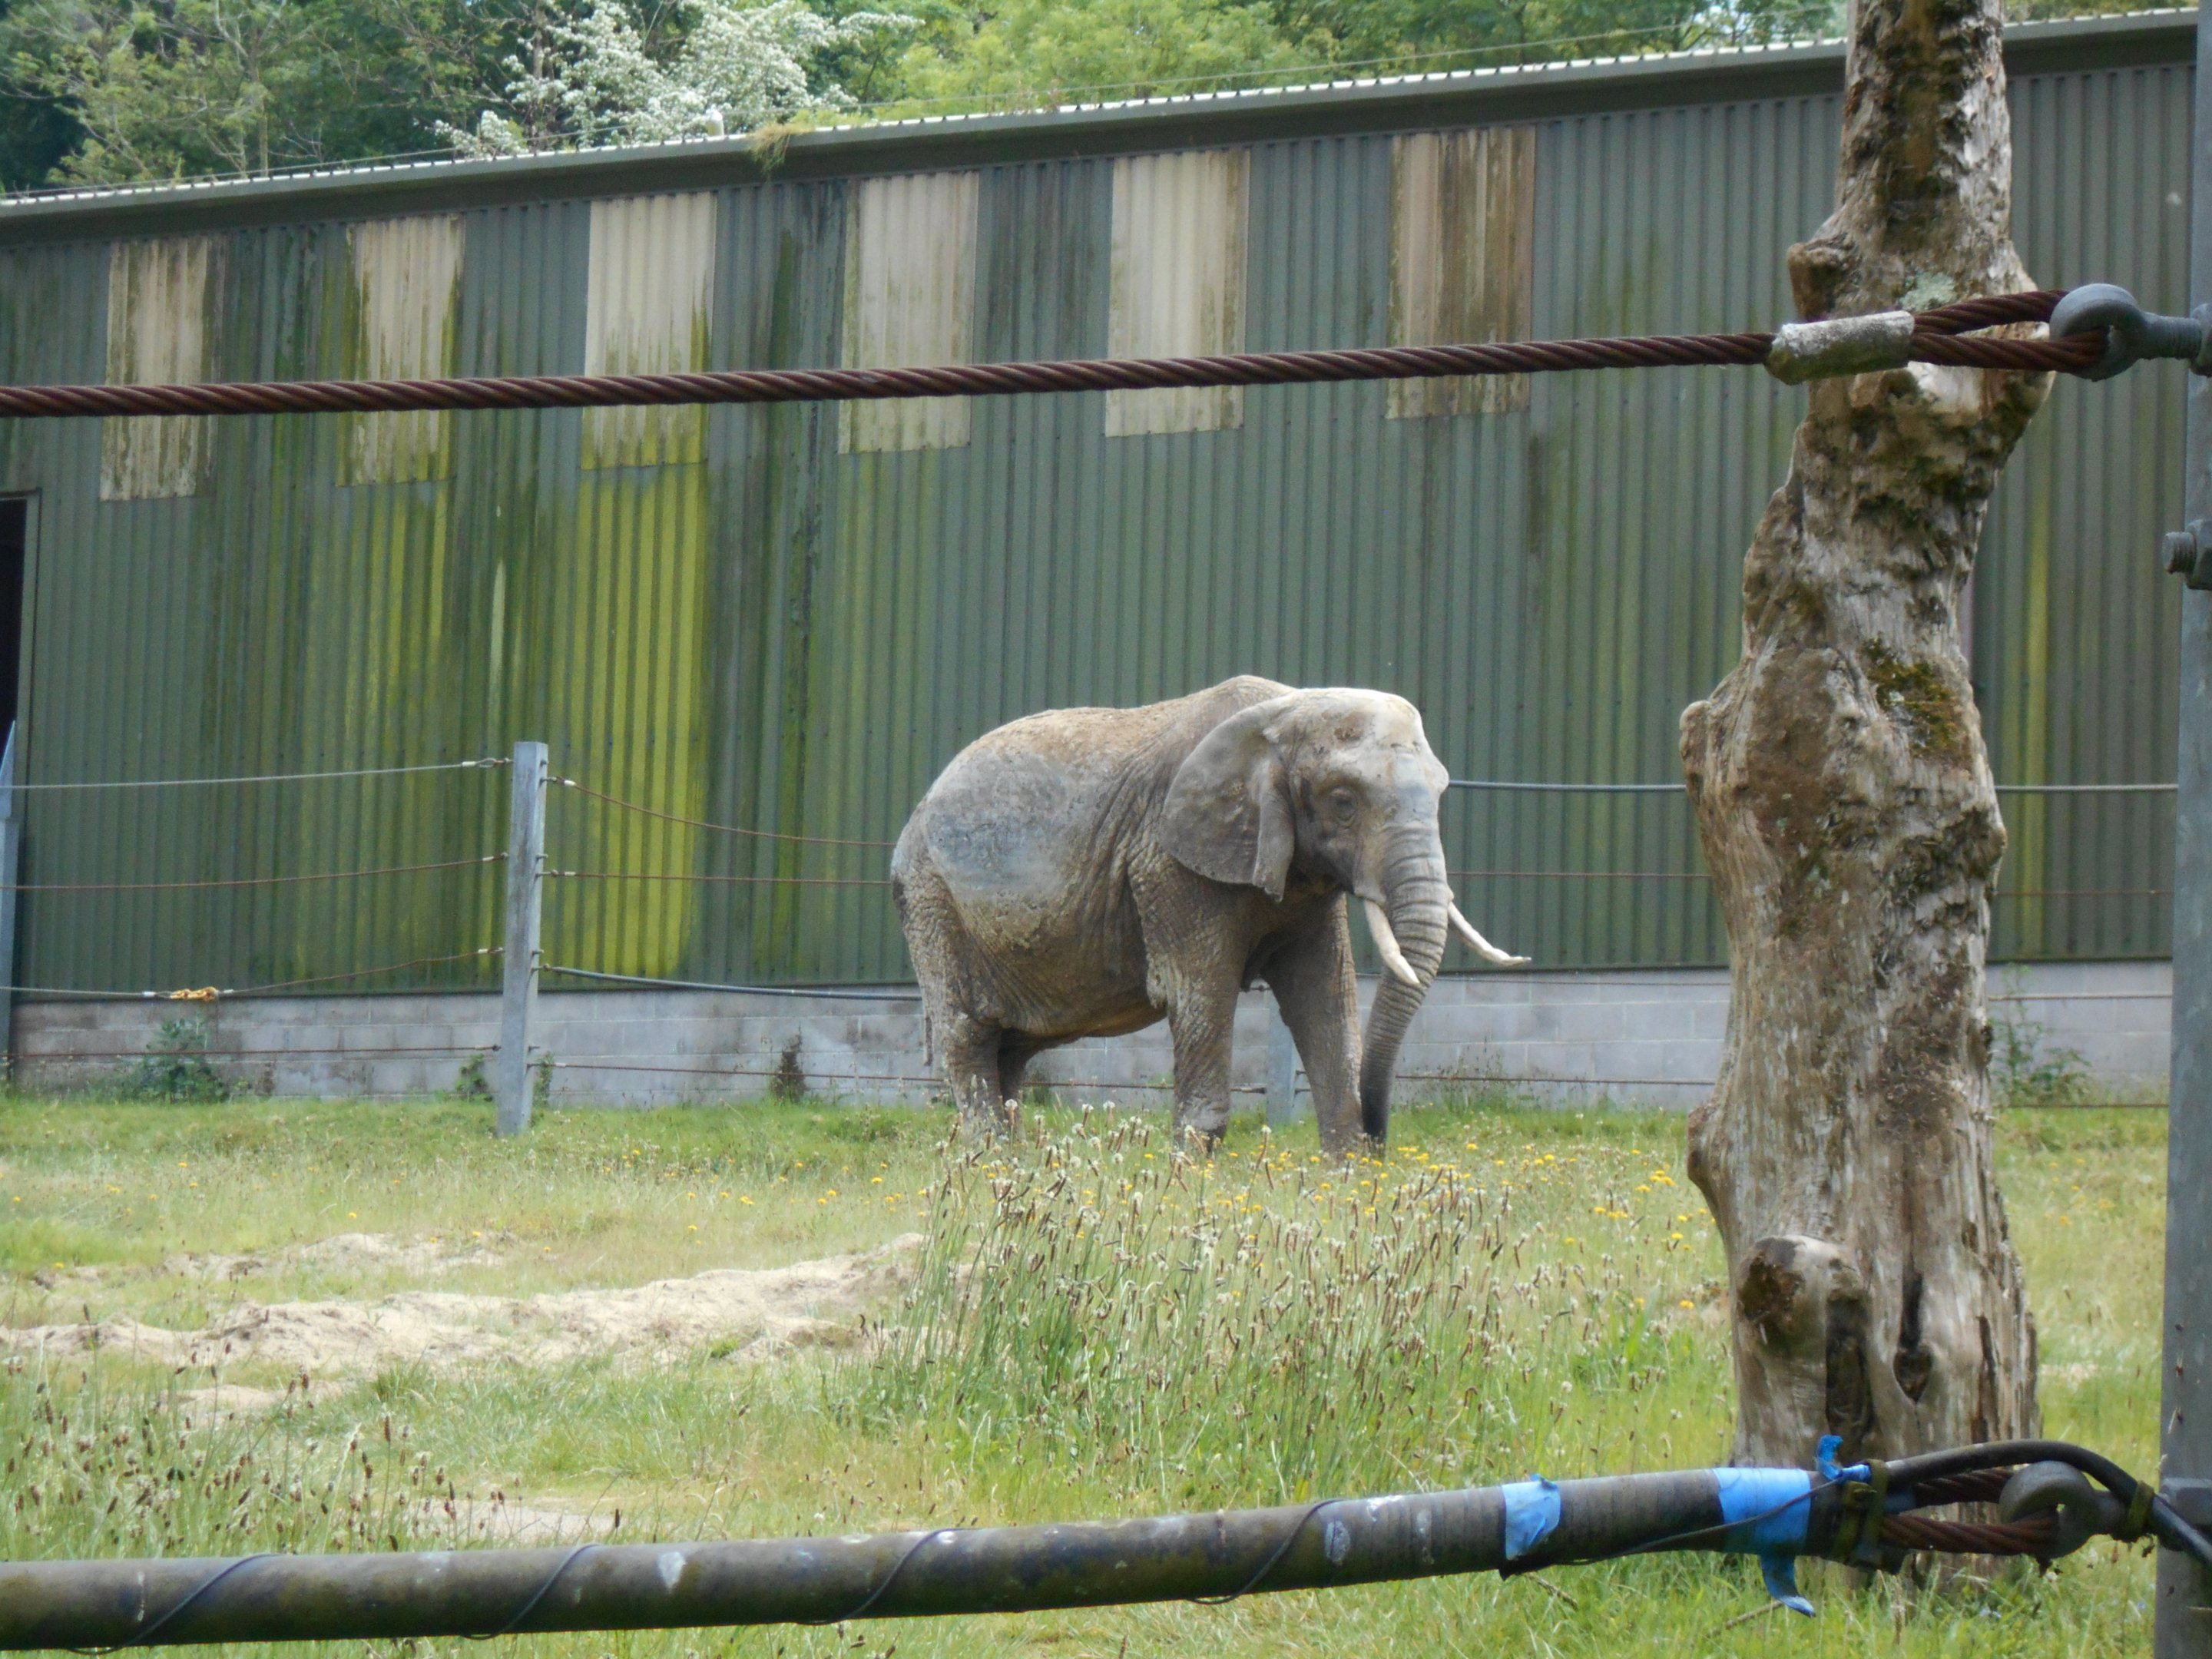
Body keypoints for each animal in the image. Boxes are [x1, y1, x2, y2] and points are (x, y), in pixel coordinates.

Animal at [890, 676, 1525, 1156]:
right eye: (1344, 803)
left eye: (1440, 794)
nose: (1378, 1138)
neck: (1287, 711)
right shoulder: (1168, 864)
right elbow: (1201, 992)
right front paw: (1188, 1175)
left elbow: (1324, 991)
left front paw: (1346, 1182)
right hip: (930, 898)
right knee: (969, 1035)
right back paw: (991, 1163)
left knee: (1014, 1048)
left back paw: (1015, 1167)